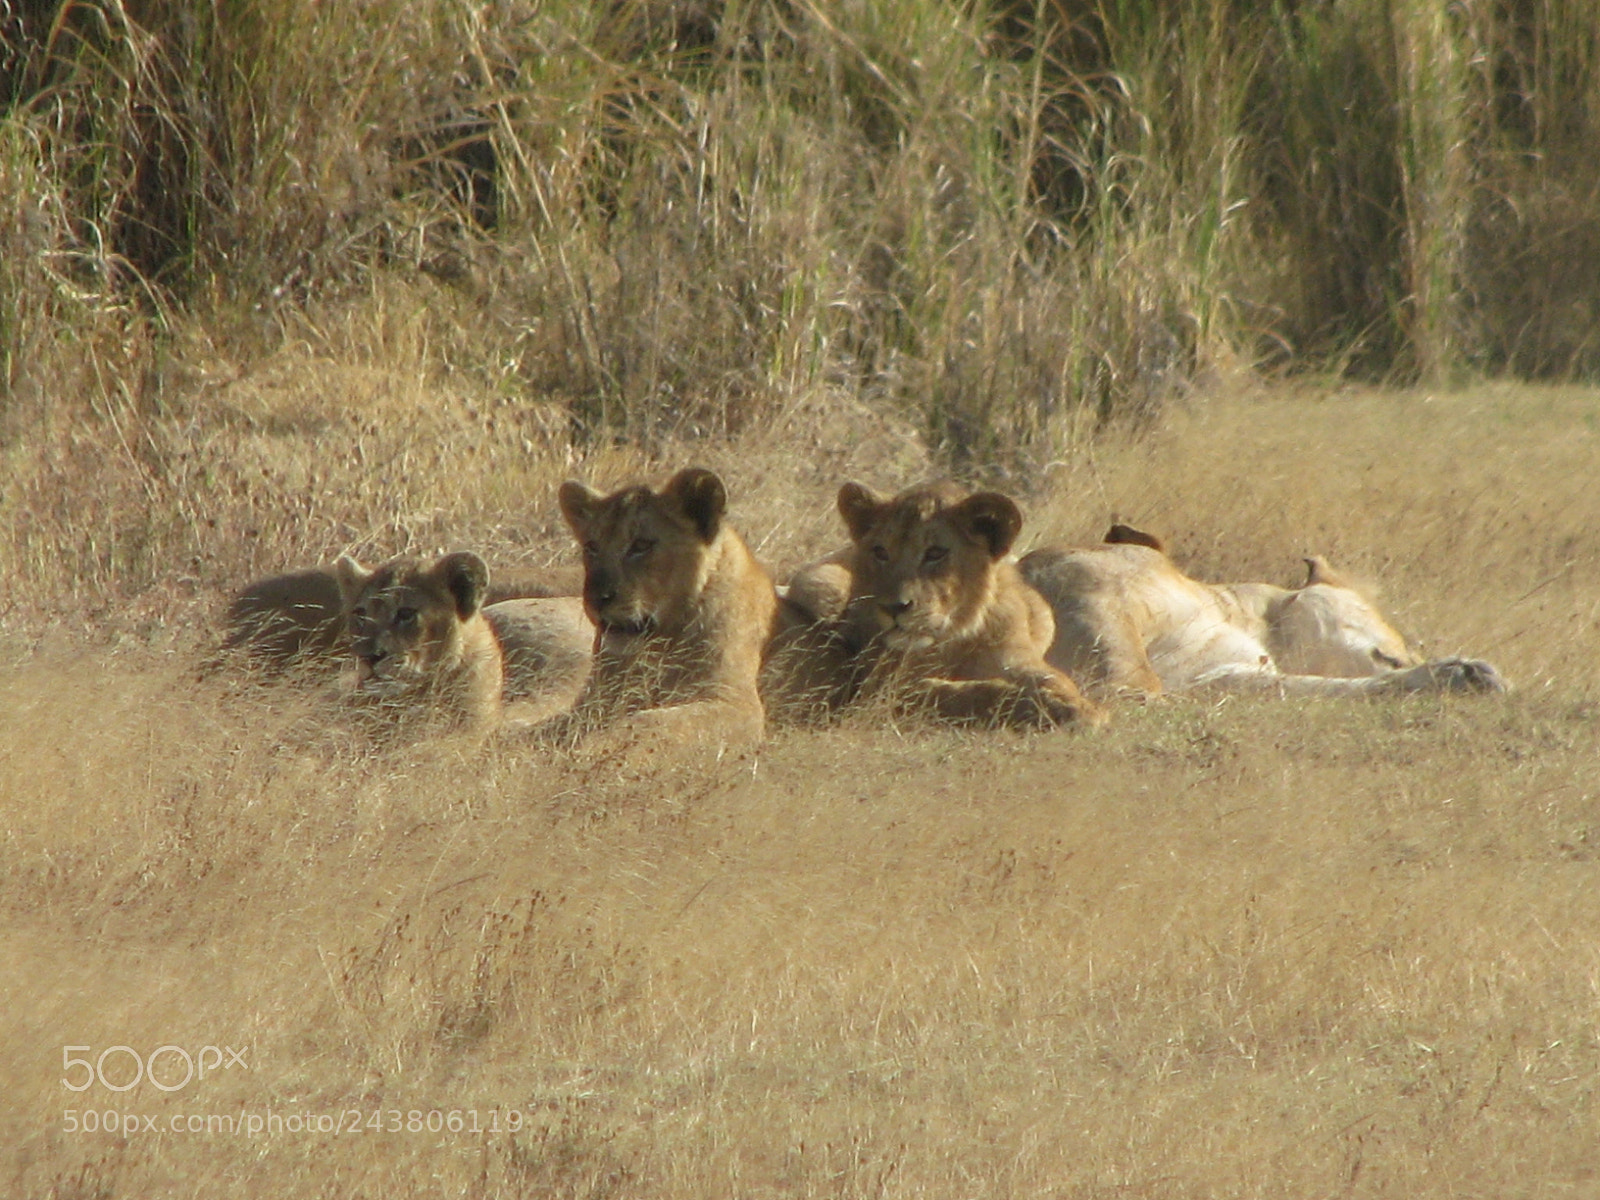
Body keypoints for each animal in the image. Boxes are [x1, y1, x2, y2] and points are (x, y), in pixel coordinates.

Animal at [549, 466, 779, 746]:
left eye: (641, 545)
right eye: (592, 547)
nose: (597, 599)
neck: (659, 648)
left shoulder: (737, 704)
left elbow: (652, 721)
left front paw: (595, 746)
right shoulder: (593, 702)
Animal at [778, 481, 1105, 730]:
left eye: (935, 553)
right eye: (881, 552)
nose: (895, 607)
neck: (952, 641)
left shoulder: (1016, 658)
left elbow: (1054, 681)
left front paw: (1079, 707)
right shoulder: (879, 692)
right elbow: (958, 692)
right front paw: (1032, 705)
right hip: (819, 585)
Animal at [1018, 527, 1507, 699]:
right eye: (1399, 637)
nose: (1414, 654)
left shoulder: (1221, 676)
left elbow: (1314, 687)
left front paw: (1466, 675)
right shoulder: (1086, 581)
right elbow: (1127, 671)